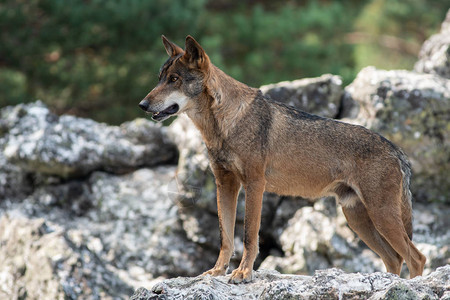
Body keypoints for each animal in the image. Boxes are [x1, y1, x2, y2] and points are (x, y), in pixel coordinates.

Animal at [139, 35, 428, 284]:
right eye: (160, 78)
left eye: (174, 79)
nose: (142, 104)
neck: (225, 124)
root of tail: (397, 150)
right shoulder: (225, 185)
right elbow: (225, 237)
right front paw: (217, 272)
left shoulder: (254, 185)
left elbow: (248, 236)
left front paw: (243, 273)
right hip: (359, 220)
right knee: (394, 259)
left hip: (380, 216)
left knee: (417, 258)